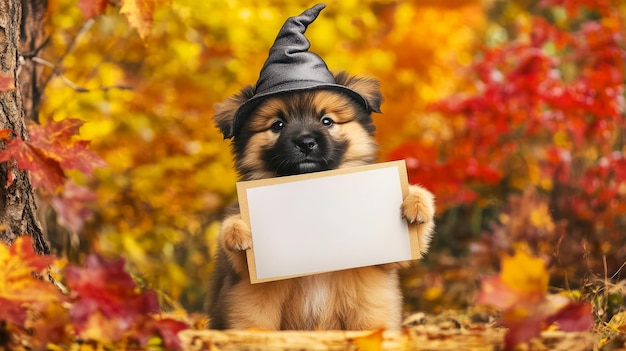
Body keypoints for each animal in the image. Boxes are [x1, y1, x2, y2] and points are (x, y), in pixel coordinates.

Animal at [206, 73, 434, 332]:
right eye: (277, 125)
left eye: (327, 121)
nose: (305, 142)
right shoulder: (244, 274)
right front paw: (237, 231)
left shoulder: (387, 262)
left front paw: (416, 203)